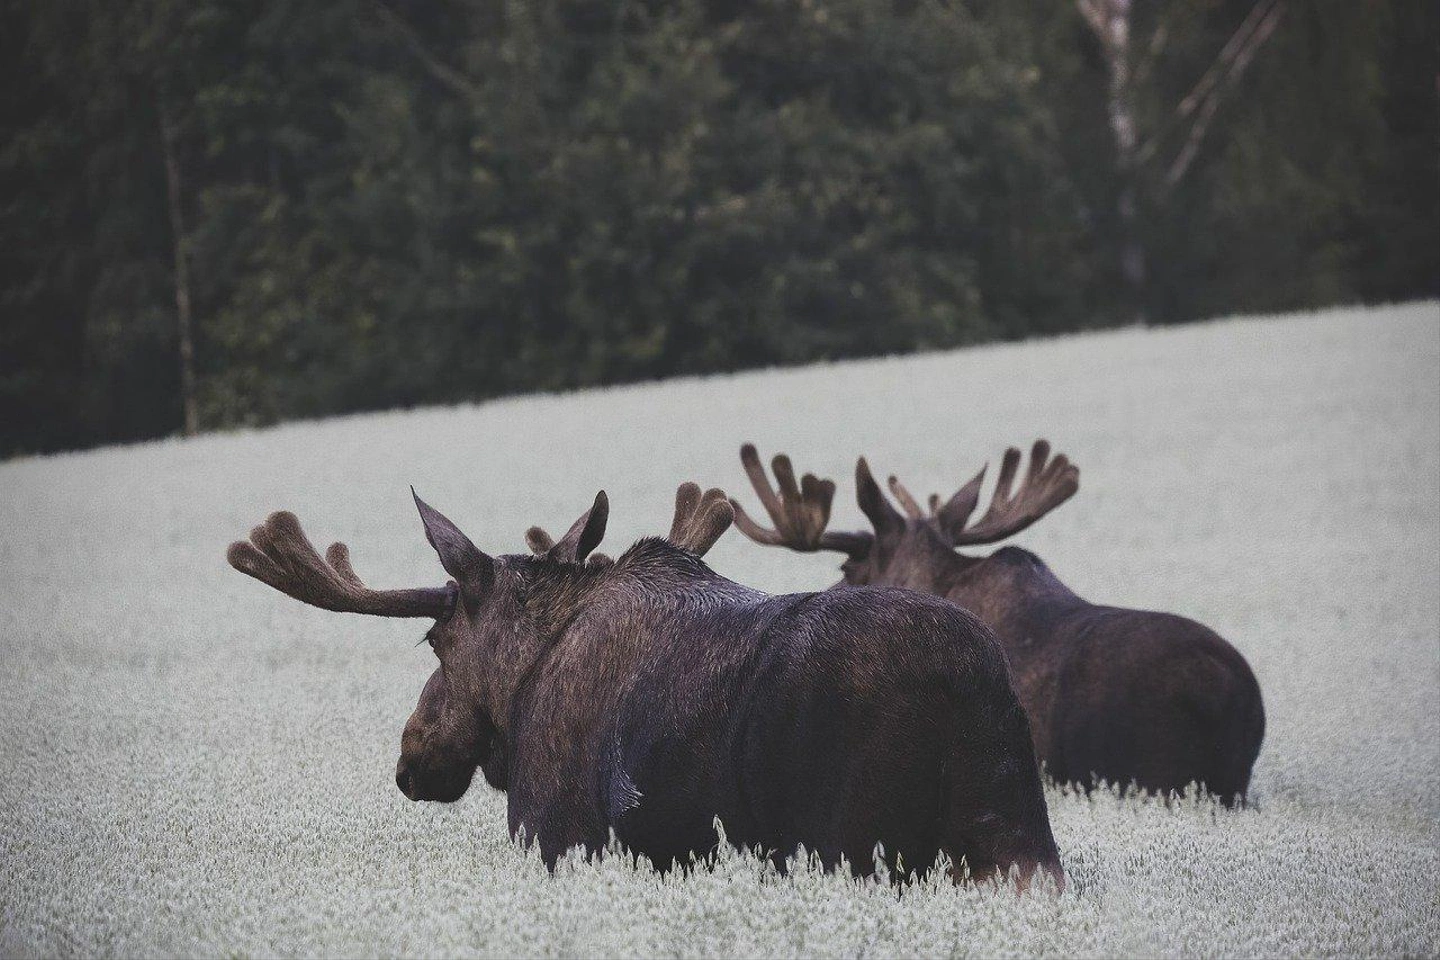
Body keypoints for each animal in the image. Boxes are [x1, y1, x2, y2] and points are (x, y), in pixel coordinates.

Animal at [227, 482, 1063, 887]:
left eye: (433, 639)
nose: (412, 755)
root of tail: (970, 689)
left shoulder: (557, 834)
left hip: (853, 843)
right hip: (1018, 843)